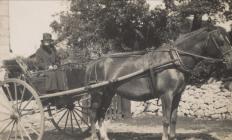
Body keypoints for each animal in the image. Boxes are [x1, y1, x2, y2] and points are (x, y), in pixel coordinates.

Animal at [84, 26, 232, 140]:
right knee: (93, 114)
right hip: (98, 94)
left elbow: (173, 119)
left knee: (101, 114)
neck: (173, 61)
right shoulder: (166, 95)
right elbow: (166, 119)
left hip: (108, 94)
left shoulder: (177, 96)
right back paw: (94, 136)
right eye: (220, 41)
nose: (230, 61)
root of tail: (93, 63)